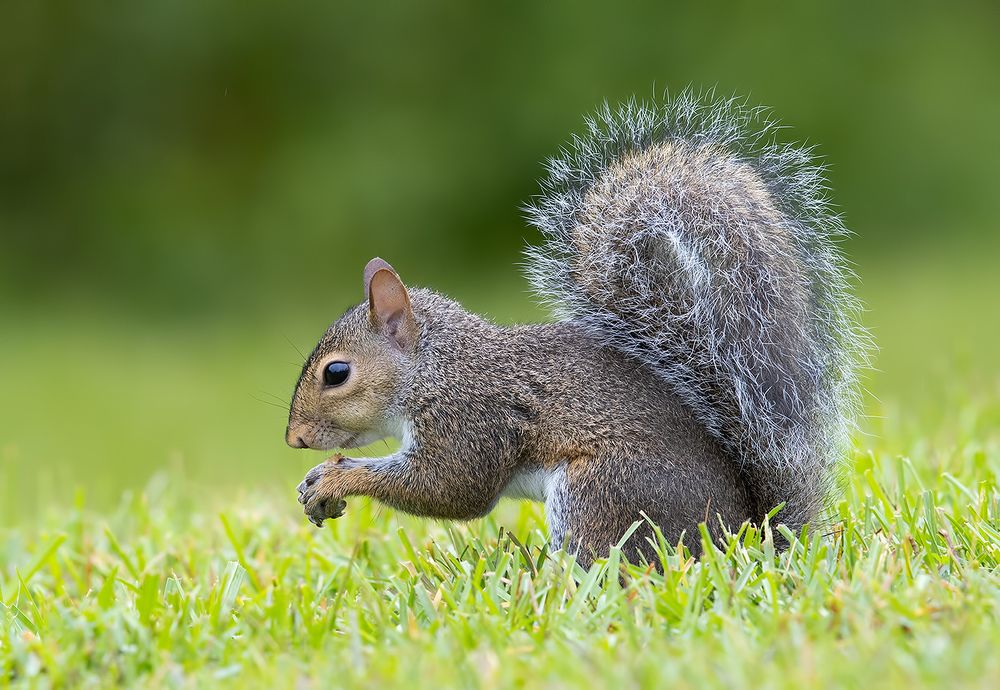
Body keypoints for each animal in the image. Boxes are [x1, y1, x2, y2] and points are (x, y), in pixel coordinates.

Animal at [285, 92, 866, 566]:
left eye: (336, 373)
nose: (294, 440)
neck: (436, 365)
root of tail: (748, 535)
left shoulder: (471, 420)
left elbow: (450, 489)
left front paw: (337, 476)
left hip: (601, 492)